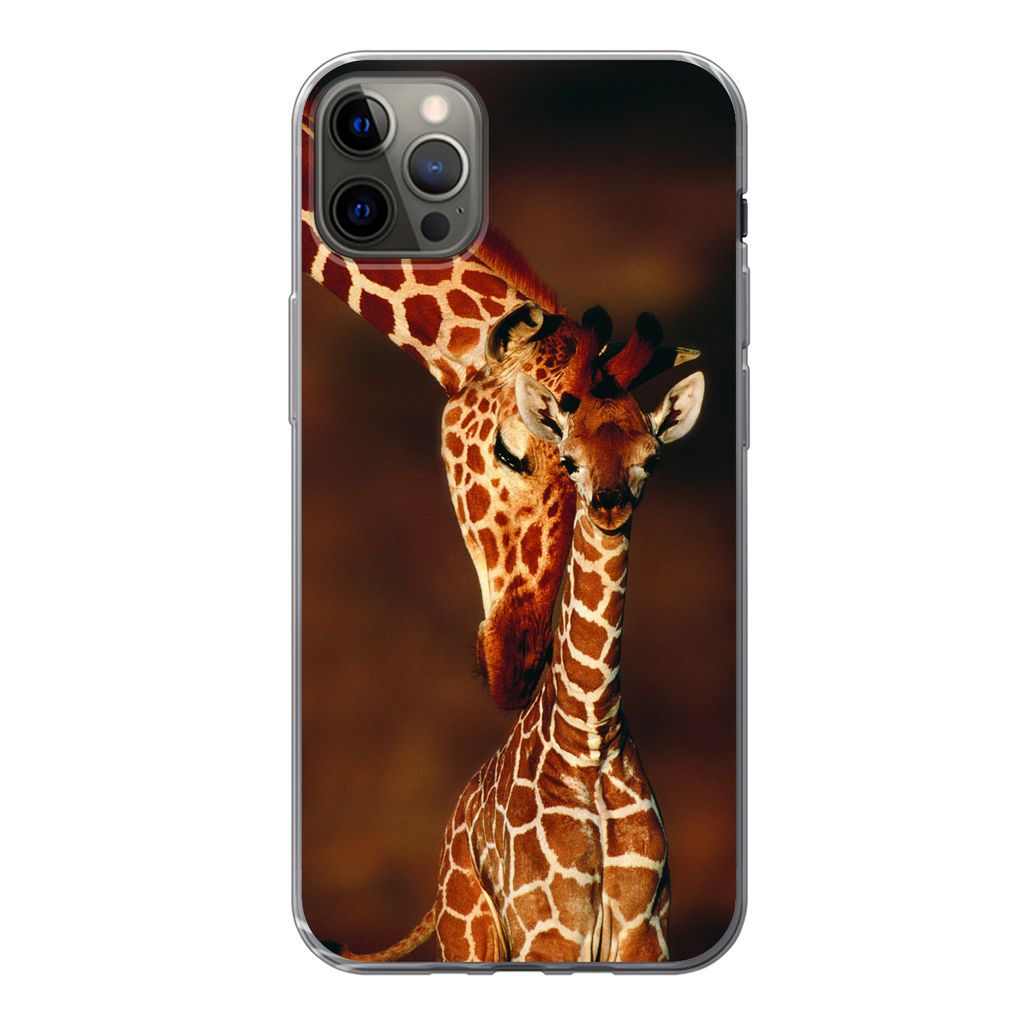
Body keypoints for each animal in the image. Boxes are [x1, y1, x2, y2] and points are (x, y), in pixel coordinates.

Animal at [338, 324, 706, 963]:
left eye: (652, 458)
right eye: (570, 460)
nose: (610, 504)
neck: (591, 738)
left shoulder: (645, 932)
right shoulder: (550, 931)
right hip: (470, 937)